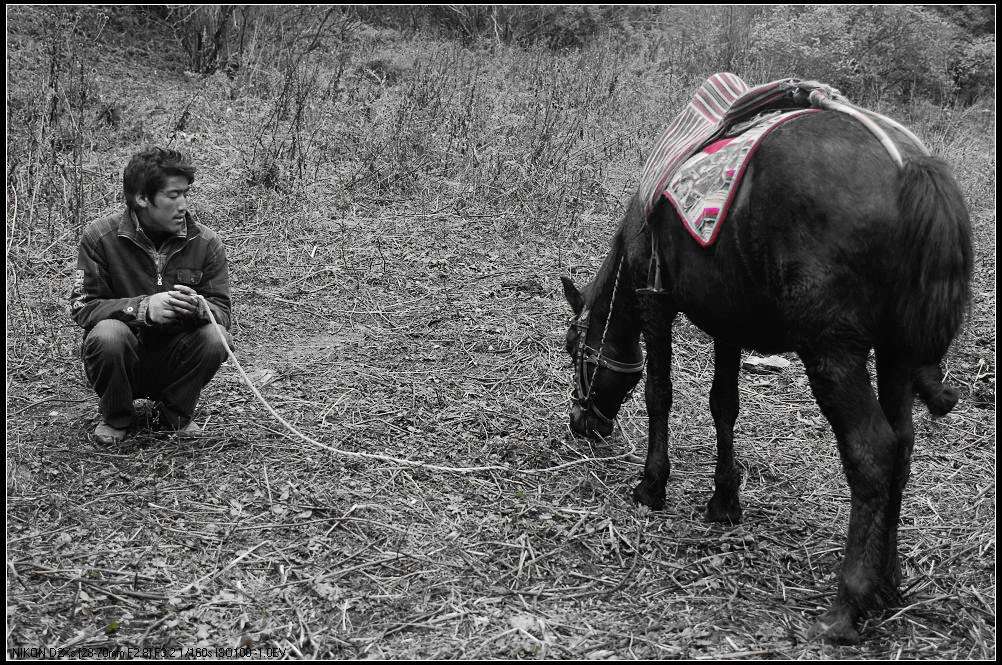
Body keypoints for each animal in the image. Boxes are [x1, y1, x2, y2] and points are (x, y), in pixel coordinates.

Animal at [561, 110, 965, 644]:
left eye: (574, 350)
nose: (580, 422)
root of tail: (910, 169)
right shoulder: (727, 322)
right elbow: (724, 405)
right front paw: (724, 500)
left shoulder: (657, 303)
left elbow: (658, 394)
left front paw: (652, 486)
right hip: (895, 355)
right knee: (902, 445)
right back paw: (887, 583)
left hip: (833, 353)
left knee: (873, 451)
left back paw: (847, 605)